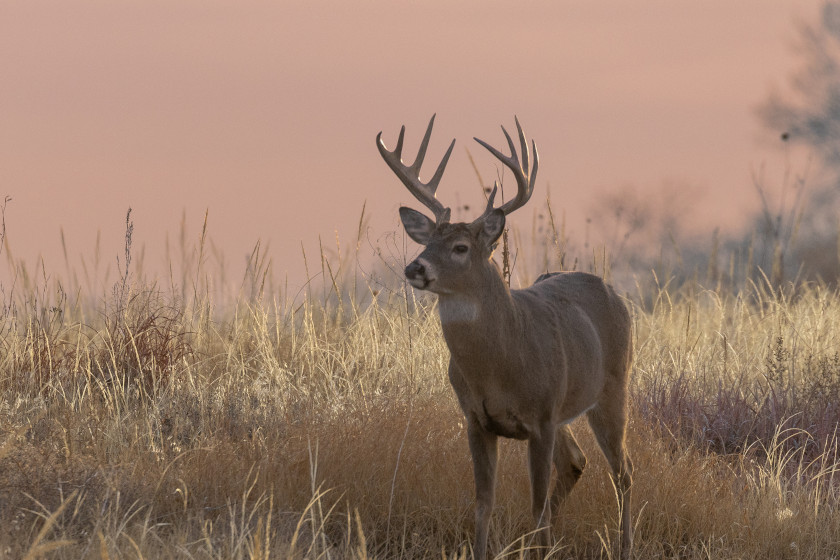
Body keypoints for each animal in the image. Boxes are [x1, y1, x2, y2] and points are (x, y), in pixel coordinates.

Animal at [378, 115, 632, 560]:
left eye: (461, 247)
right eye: (428, 241)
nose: (414, 268)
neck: (500, 365)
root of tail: (613, 292)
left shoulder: (542, 416)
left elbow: (536, 503)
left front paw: (541, 549)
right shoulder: (476, 419)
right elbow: (484, 502)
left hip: (613, 387)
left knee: (623, 473)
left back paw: (622, 547)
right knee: (576, 463)